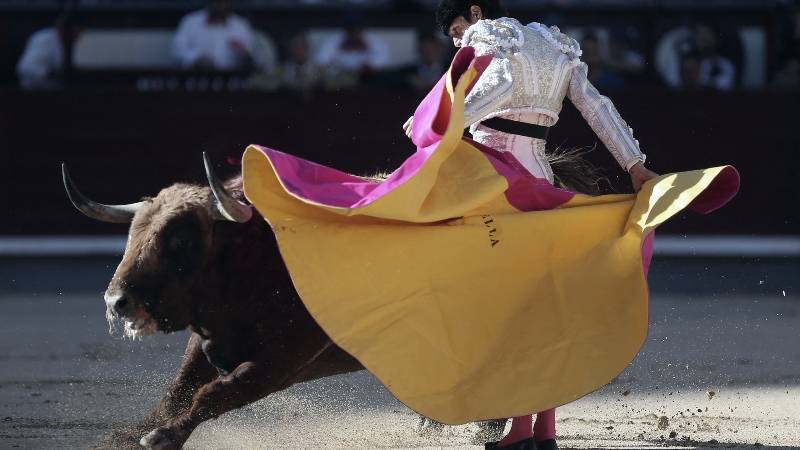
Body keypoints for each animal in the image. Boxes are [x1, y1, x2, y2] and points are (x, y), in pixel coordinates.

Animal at [62, 154, 362, 446]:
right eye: (133, 233)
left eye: (181, 240)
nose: (116, 302)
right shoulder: (208, 338)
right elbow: (178, 390)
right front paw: (127, 437)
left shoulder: (284, 360)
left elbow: (220, 392)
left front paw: (163, 436)